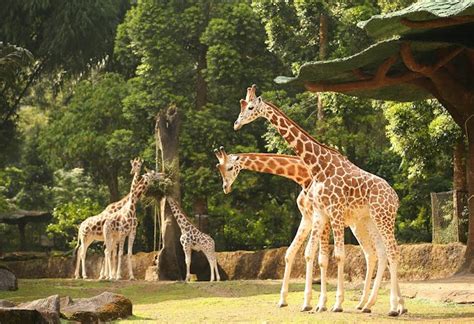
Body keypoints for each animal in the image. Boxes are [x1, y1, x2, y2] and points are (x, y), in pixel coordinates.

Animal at [213, 147, 386, 312]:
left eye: (229, 168)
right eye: (218, 168)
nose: (225, 188)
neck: (302, 175)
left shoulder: (321, 219)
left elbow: (319, 257)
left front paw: (316, 303)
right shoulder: (307, 217)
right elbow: (292, 253)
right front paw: (285, 300)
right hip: (359, 225)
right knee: (372, 254)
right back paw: (364, 304)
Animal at [233, 84, 404, 316]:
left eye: (250, 107)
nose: (236, 123)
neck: (318, 165)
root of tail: (395, 196)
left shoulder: (334, 210)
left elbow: (337, 255)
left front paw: (335, 304)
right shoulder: (322, 213)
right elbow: (317, 256)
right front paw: (319, 303)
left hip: (383, 217)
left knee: (392, 252)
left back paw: (394, 307)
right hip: (369, 221)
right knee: (378, 253)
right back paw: (368, 304)